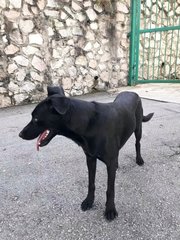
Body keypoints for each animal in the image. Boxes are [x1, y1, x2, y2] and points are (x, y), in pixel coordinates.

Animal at [19, 85, 153, 220]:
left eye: (35, 118)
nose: (20, 134)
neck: (89, 124)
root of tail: (132, 92)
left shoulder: (109, 162)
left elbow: (110, 189)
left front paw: (110, 209)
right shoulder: (90, 158)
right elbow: (91, 183)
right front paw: (89, 201)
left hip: (138, 128)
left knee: (137, 143)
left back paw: (139, 159)